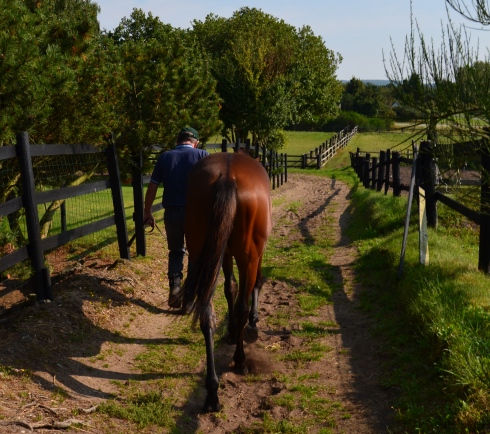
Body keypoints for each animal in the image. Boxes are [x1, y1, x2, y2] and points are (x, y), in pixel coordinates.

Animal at [178, 151, 274, 412]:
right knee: (241, 305)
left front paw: (231, 332)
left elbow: (229, 288)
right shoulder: (254, 256)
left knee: (206, 313)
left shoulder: (224, 254)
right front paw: (252, 325)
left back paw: (212, 391)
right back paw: (240, 360)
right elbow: (253, 285)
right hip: (247, 257)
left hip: (204, 252)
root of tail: (228, 175)